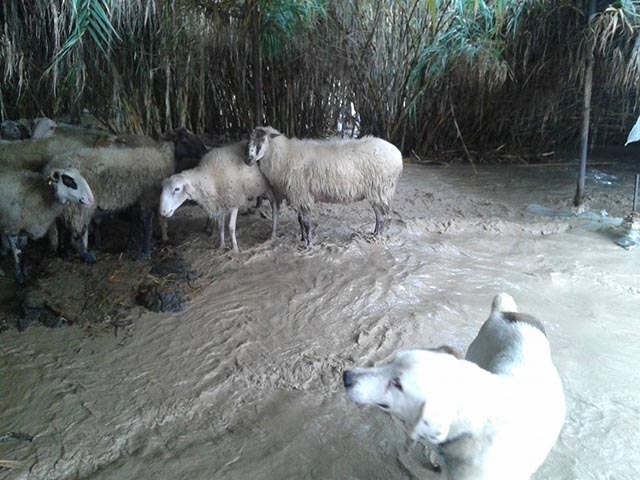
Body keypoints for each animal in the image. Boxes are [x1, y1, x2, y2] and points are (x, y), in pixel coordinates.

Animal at [46, 142, 175, 262]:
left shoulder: (137, 200)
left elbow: (136, 222)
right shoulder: (145, 199)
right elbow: (146, 224)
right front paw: (145, 253)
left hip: (68, 209)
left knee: (63, 228)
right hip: (78, 207)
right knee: (72, 232)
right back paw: (83, 255)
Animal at [246, 125, 402, 246]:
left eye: (262, 140)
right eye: (250, 140)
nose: (248, 160)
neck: (283, 155)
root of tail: (398, 154)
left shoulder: (302, 194)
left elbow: (306, 223)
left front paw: (308, 245)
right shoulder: (298, 195)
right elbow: (300, 220)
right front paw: (302, 238)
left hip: (380, 190)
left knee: (381, 216)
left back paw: (377, 237)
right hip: (377, 192)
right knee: (379, 216)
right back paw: (374, 233)